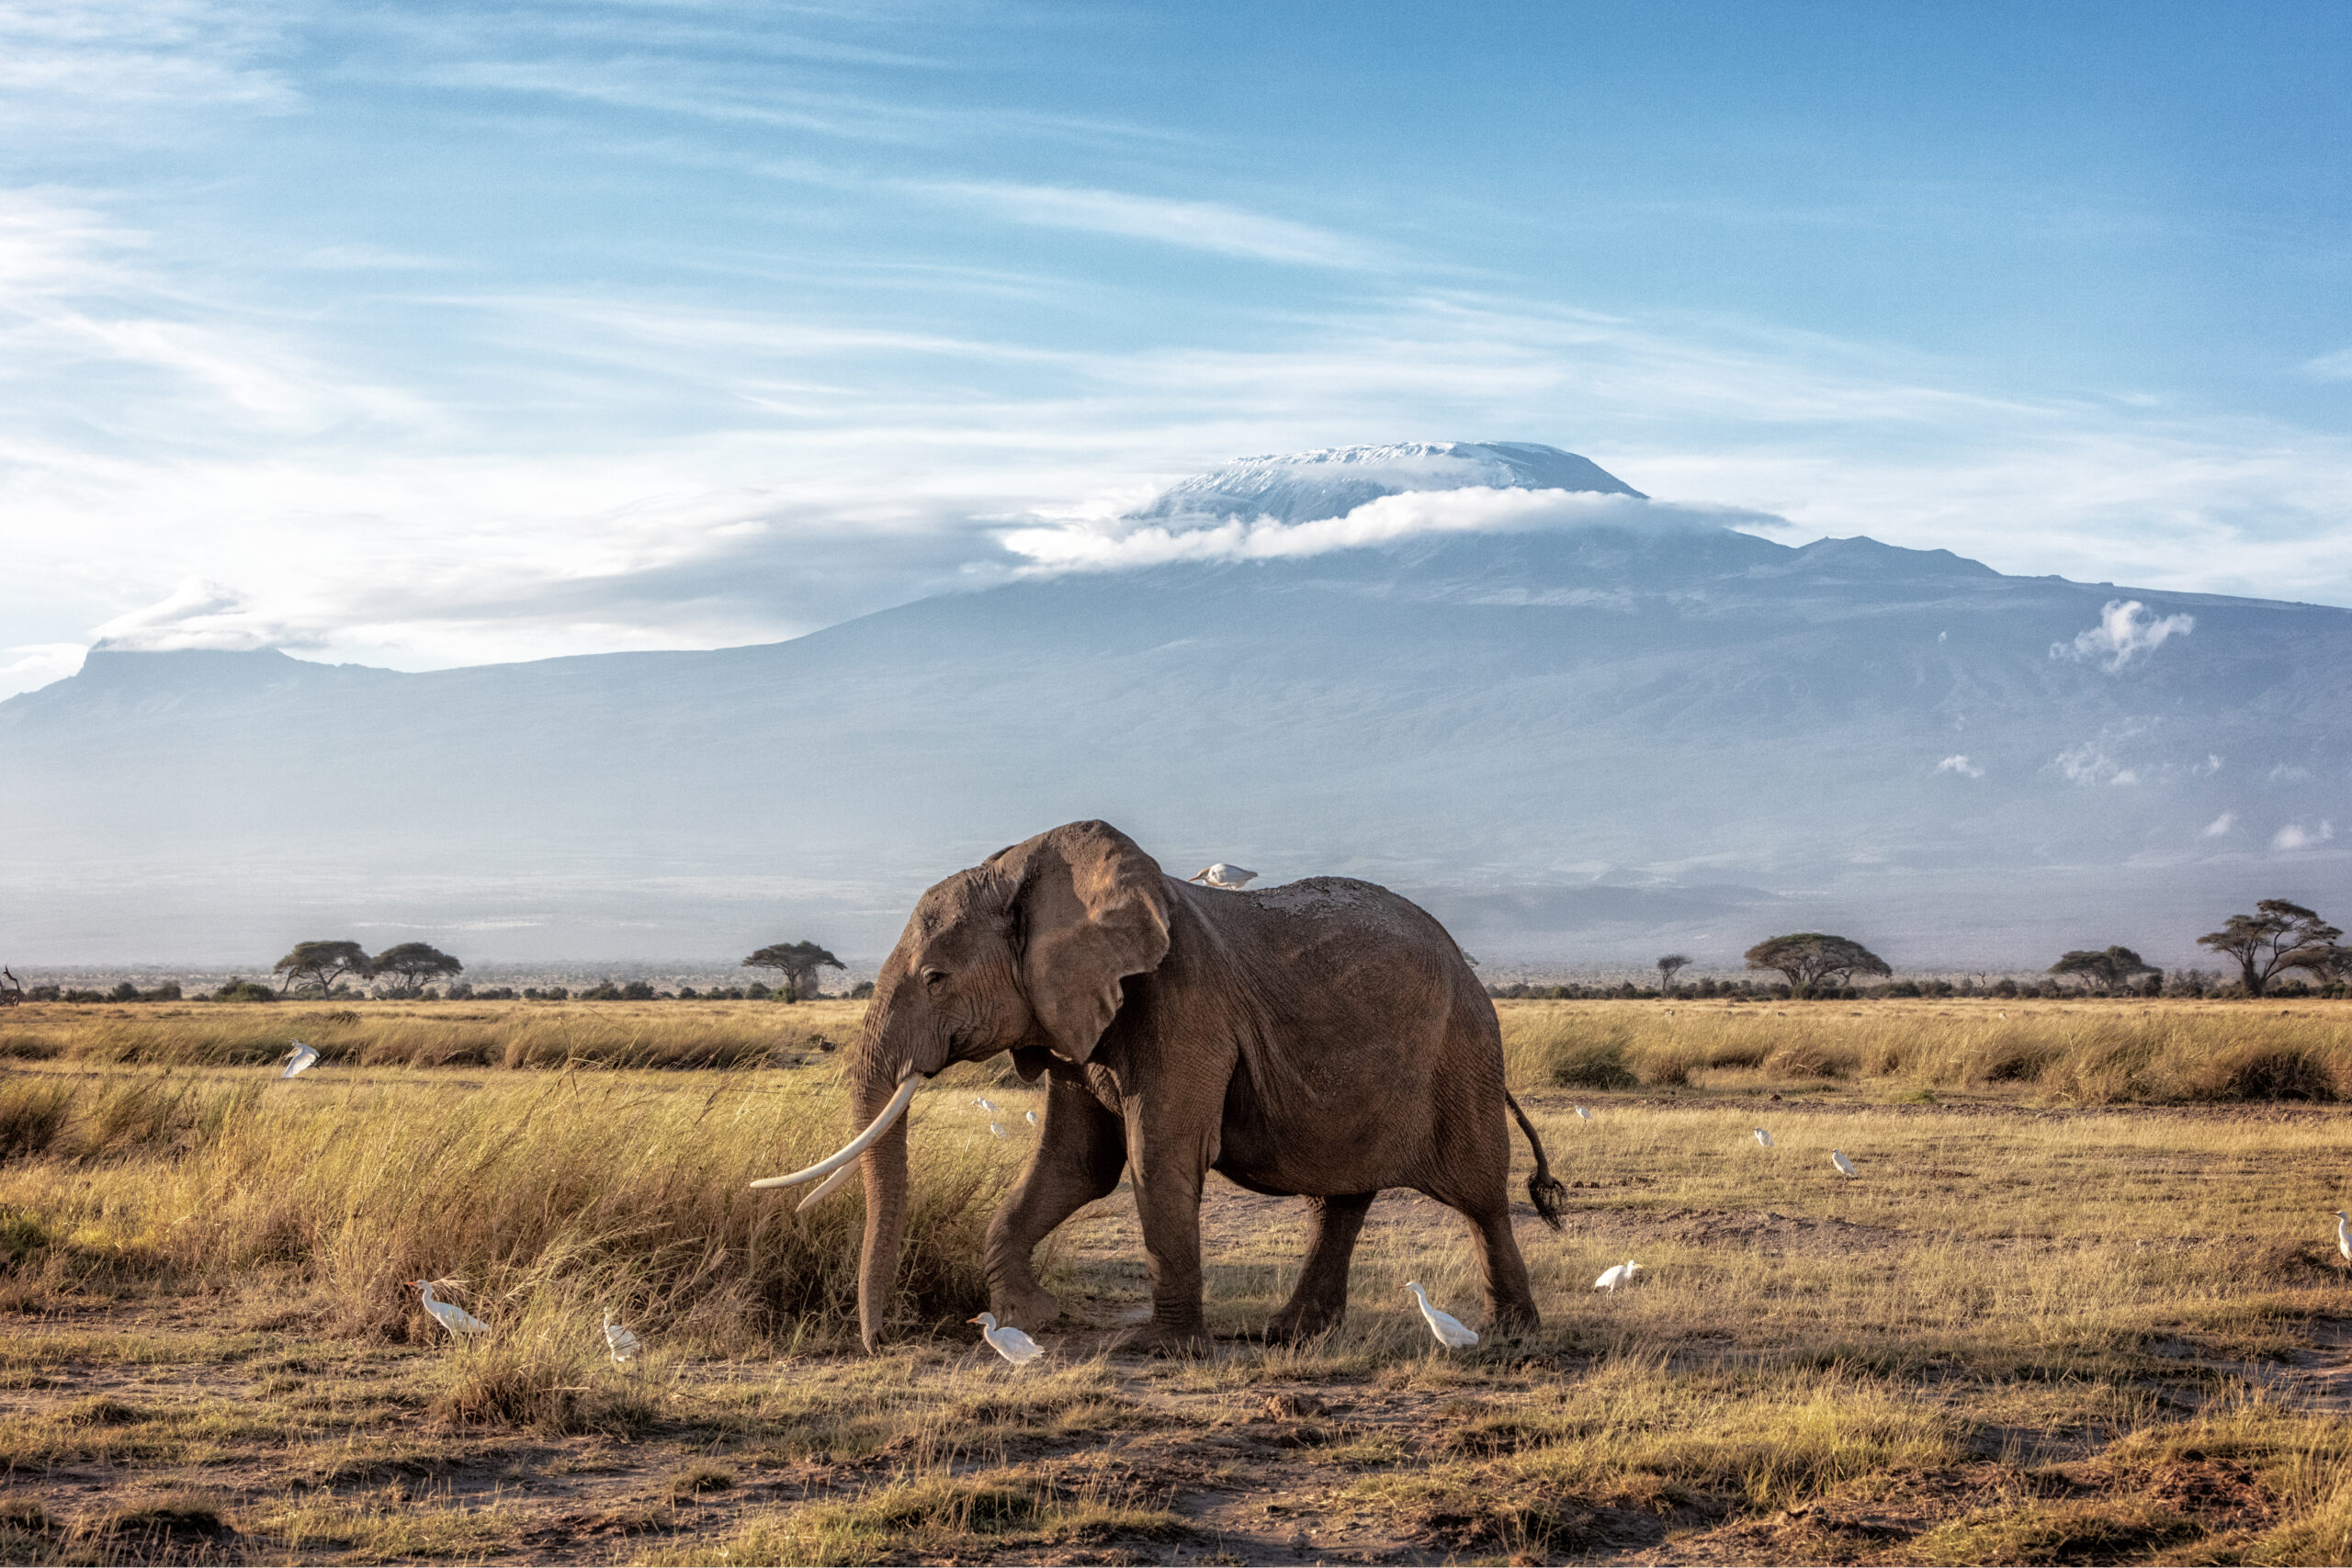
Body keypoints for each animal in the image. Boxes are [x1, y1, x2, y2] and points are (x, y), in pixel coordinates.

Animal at [763, 819, 1567, 1353]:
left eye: (936, 977)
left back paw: (1508, 1334)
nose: (880, 1343)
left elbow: (1158, 1156)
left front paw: (1158, 1347)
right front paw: (1030, 1319)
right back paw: (1288, 1333)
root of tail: (1469, 966)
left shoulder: (1183, 1003)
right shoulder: (1074, 1014)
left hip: (1464, 1047)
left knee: (1478, 1192)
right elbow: (1075, 1165)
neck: (1036, 868)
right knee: (1340, 1199)